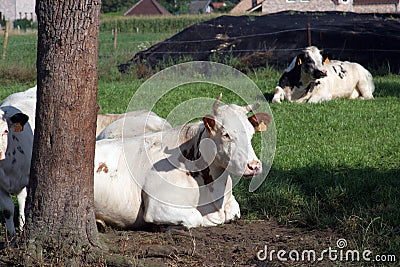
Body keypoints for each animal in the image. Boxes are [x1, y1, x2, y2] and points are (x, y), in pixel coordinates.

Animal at [93, 96, 272, 230]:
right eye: (226, 134)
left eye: (251, 133)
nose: (254, 166)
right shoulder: (159, 206)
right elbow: (196, 218)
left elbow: (235, 211)